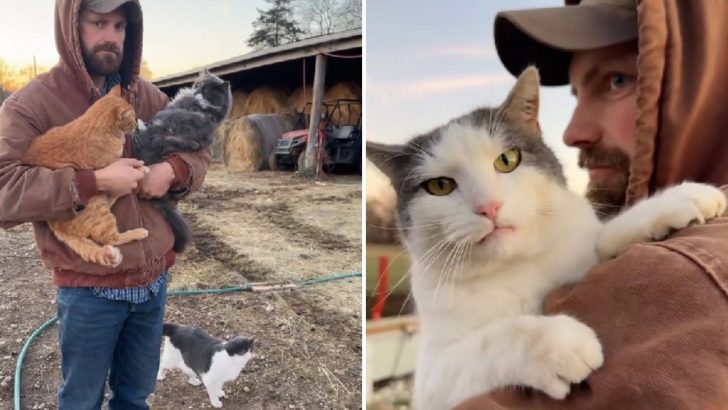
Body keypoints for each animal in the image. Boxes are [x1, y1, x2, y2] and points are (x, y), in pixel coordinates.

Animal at [22, 85, 149, 268]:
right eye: (131, 119)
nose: (135, 126)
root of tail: (56, 226)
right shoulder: (112, 164)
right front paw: (141, 167)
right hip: (98, 208)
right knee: (110, 238)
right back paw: (138, 231)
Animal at [366, 67, 724, 410]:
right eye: (440, 186)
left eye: (507, 160)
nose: (489, 206)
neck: (518, 266)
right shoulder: (433, 378)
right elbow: (493, 341)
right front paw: (561, 343)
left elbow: (602, 238)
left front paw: (679, 200)